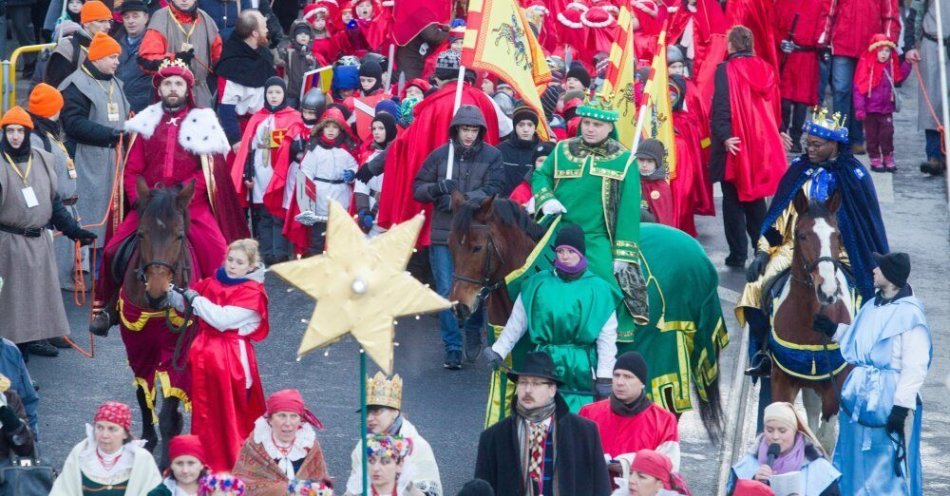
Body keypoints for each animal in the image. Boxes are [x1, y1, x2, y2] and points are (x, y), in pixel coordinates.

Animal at [122, 179, 198, 468]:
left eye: (179, 235)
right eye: (141, 234)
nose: (157, 293)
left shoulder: (177, 346)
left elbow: (170, 399)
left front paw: (167, 459)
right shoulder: (137, 343)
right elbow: (144, 394)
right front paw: (147, 439)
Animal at [772, 190, 856, 454]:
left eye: (838, 235)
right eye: (801, 235)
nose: (827, 291)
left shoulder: (833, 387)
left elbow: (826, 438)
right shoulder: (783, 379)